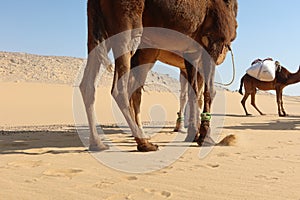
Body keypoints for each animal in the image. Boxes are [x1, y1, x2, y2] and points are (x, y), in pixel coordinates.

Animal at [80, 0, 239, 152]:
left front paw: (193, 134)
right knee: (121, 89)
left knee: (89, 84)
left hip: (100, 31)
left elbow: (194, 93)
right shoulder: (215, 40)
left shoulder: (192, 53)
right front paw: (205, 137)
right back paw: (143, 142)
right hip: (128, 27)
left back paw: (98, 143)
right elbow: (209, 91)